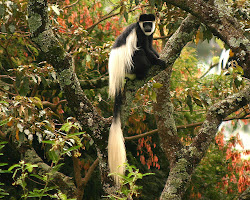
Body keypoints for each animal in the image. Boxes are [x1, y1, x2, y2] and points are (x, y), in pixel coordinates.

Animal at [107, 13, 164, 184]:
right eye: (144, 24)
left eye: (149, 23)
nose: (148, 27)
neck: (142, 30)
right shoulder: (139, 34)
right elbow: (145, 49)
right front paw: (159, 61)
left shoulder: (150, 35)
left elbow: (150, 47)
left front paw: (158, 56)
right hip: (129, 65)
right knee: (138, 53)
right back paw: (141, 73)